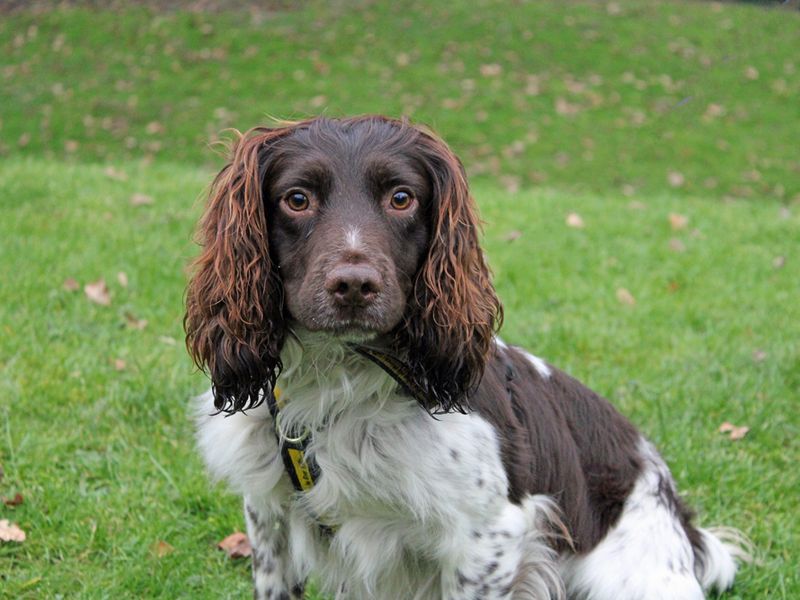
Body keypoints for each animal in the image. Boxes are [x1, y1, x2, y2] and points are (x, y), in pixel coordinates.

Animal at [184, 115, 748, 596]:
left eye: (402, 198)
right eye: (297, 199)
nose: (354, 286)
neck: (339, 375)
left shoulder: (489, 533)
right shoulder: (269, 517)